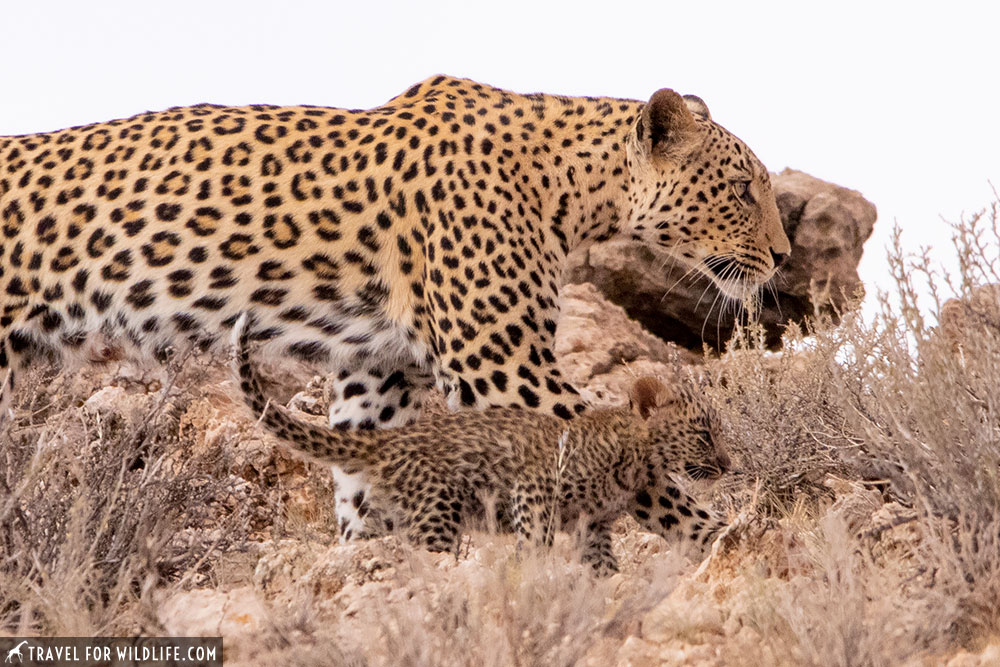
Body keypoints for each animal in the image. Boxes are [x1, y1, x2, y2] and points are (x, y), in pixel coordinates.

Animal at [1, 75, 788, 540]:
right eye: (743, 188)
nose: (783, 257)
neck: (569, 190)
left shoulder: (377, 371)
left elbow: (366, 478)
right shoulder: (505, 366)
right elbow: (640, 470)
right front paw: (730, 542)